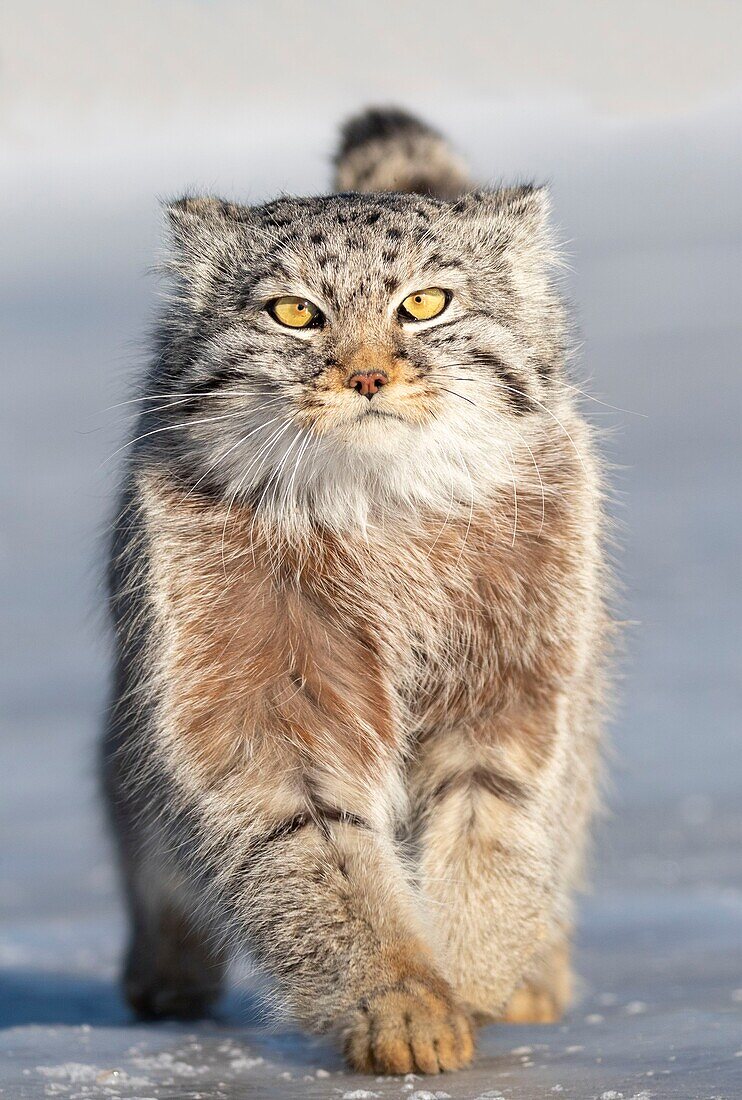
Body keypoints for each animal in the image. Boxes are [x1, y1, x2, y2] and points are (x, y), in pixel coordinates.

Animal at [102, 107, 611, 1069]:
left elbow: (494, 833)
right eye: (295, 313)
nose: (368, 374)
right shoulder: (260, 697)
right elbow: (315, 856)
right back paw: (165, 977)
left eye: (425, 303)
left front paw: (475, 976)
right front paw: (403, 1004)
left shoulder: (519, 677)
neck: (383, 515)